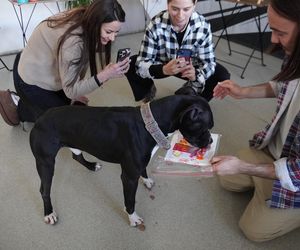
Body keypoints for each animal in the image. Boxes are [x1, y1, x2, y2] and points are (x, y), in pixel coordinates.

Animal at [29, 95, 213, 227]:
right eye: (206, 127)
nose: (211, 141)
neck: (150, 123)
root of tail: (40, 117)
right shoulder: (128, 177)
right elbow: (130, 201)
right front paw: (133, 218)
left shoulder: (140, 163)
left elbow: (144, 169)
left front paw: (146, 180)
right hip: (46, 163)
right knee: (43, 189)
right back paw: (49, 213)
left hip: (74, 144)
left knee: (76, 156)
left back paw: (91, 165)